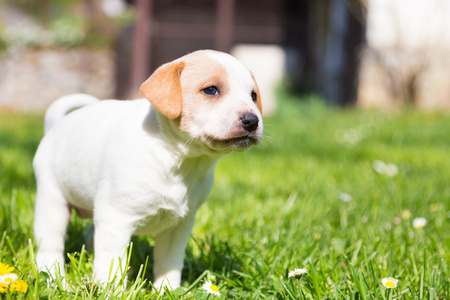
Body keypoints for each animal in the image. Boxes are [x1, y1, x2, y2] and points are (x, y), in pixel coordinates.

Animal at [33, 49, 264, 290]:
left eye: (253, 96)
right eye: (211, 90)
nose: (252, 120)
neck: (178, 160)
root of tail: (55, 126)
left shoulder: (179, 226)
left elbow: (169, 262)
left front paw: (167, 289)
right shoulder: (115, 219)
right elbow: (111, 263)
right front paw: (112, 291)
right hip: (53, 204)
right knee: (50, 245)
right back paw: (53, 275)